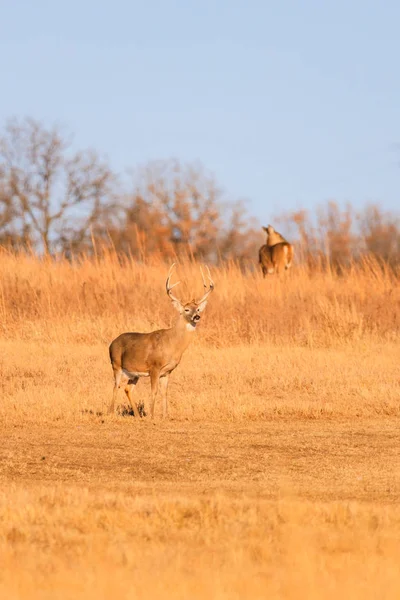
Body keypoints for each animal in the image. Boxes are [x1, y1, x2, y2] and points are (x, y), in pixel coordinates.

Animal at [108, 264, 214, 420]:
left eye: (198, 308)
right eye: (186, 309)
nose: (197, 316)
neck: (172, 344)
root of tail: (111, 343)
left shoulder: (167, 371)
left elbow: (165, 392)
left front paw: (165, 416)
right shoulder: (154, 367)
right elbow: (154, 391)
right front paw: (152, 416)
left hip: (133, 374)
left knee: (127, 388)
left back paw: (137, 416)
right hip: (116, 365)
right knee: (115, 386)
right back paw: (110, 413)